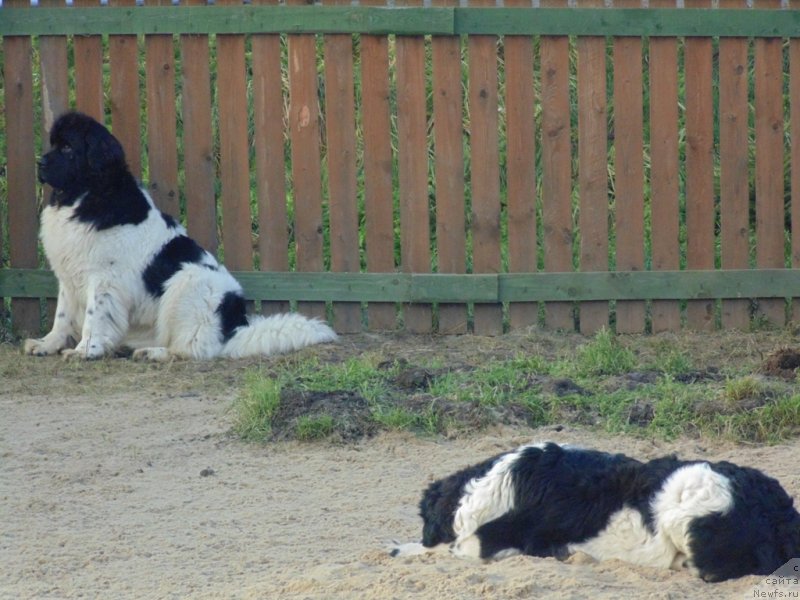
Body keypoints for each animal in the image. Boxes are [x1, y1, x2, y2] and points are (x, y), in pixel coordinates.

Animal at [25, 109, 336, 358]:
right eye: (54, 144)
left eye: (68, 148)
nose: (39, 163)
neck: (84, 195)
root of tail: (234, 325)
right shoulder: (69, 273)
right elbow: (62, 315)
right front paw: (47, 344)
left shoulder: (104, 279)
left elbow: (94, 316)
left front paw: (85, 350)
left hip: (187, 282)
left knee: (194, 347)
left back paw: (155, 353)